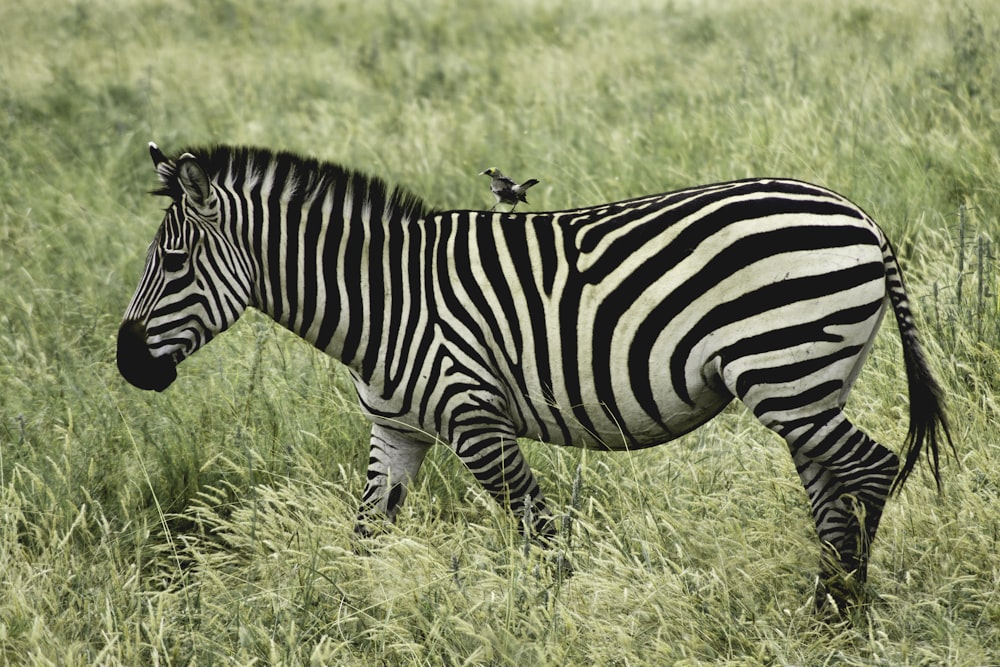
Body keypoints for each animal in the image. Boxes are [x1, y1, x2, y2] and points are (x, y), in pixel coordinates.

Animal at [119, 144, 952, 612]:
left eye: (173, 263)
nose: (126, 363)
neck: (381, 301)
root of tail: (861, 217)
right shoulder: (396, 430)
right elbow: (366, 537)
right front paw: (351, 615)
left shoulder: (473, 417)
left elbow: (539, 533)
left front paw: (554, 615)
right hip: (806, 380)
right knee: (833, 494)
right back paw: (824, 608)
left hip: (786, 371)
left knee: (873, 469)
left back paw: (852, 605)